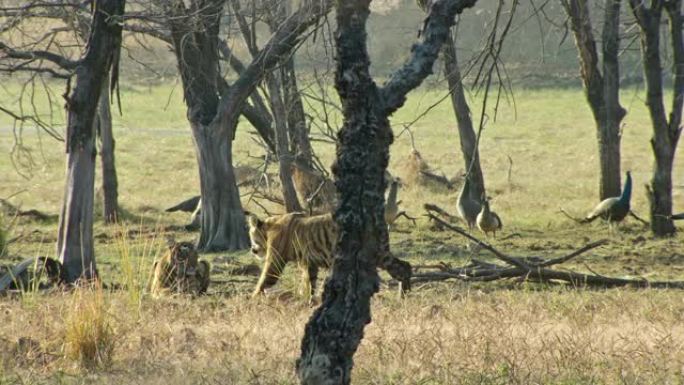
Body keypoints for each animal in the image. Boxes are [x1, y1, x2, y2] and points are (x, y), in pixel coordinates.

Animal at [247, 210, 412, 296]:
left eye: (251, 236)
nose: (252, 250)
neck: (268, 227)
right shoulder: (309, 263)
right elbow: (309, 283)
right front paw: (308, 302)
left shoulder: (275, 262)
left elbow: (263, 280)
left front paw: (252, 300)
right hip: (381, 256)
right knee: (404, 266)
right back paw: (404, 295)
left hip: (375, 255)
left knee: (403, 267)